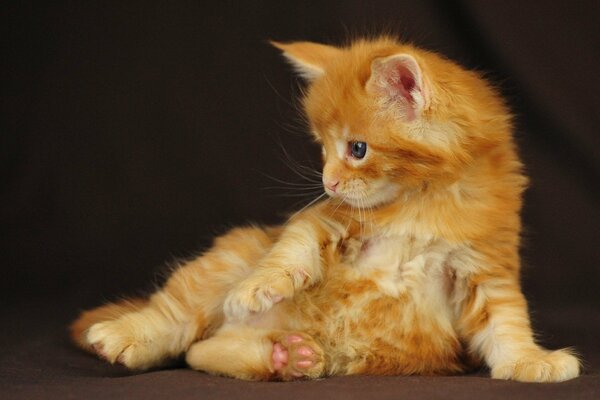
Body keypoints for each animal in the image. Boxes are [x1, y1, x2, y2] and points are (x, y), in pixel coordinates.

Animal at [70, 36, 580, 382]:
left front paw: (531, 360)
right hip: (231, 255)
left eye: (357, 148)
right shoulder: (326, 219)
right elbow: (292, 248)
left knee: (204, 352)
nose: (327, 181)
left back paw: (288, 356)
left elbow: (506, 321)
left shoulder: (485, 266)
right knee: (178, 322)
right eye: (322, 149)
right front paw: (259, 286)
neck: (420, 203)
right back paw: (123, 336)